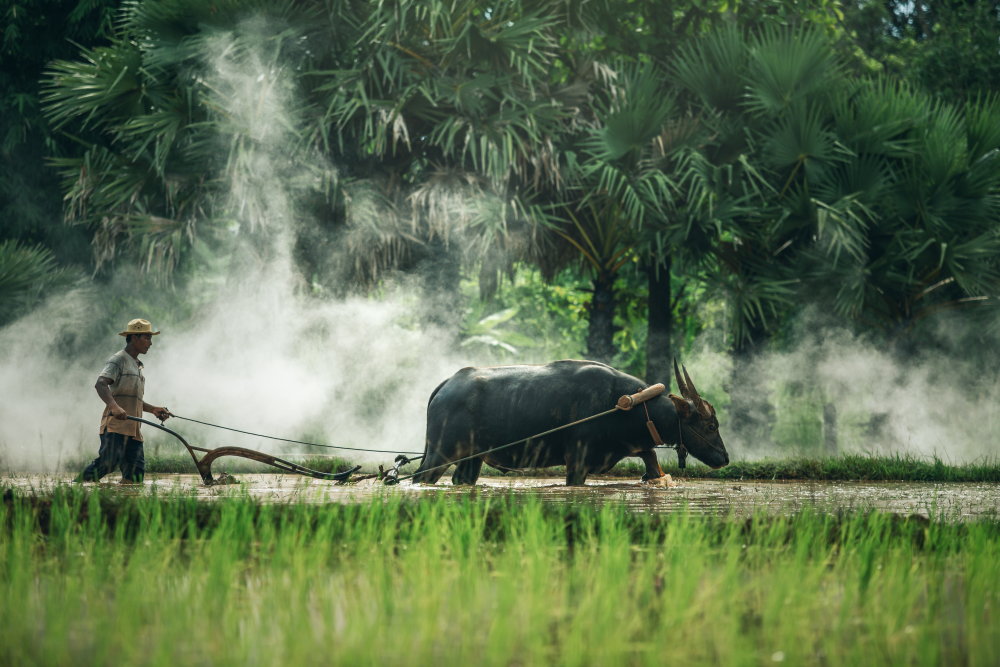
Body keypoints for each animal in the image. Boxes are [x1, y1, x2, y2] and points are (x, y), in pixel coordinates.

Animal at [410, 358, 732, 488]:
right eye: (711, 426)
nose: (724, 458)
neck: (623, 406)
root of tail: (446, 385)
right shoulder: (576, 461)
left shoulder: (634, 447)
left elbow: (651, 459)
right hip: (439, 453)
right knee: (419, 478)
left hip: (471, 459)